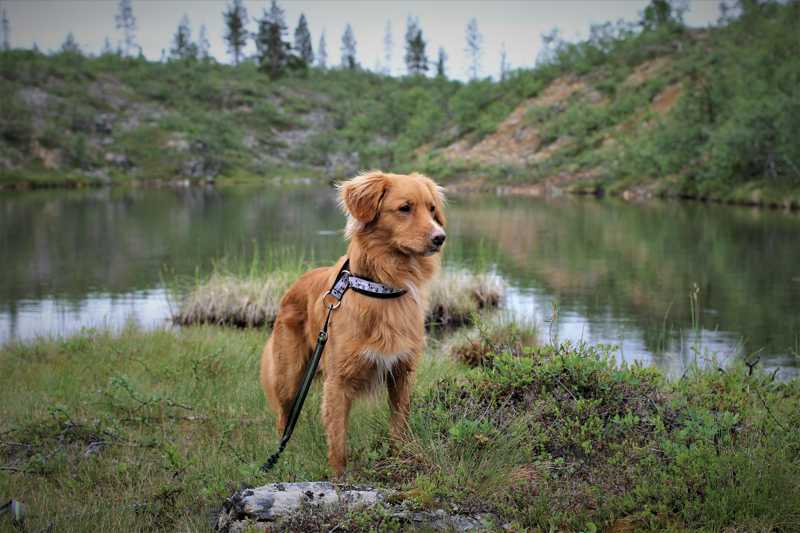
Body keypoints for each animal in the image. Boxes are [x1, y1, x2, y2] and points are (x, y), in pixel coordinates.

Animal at [262, 170, 450, 474]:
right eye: (405, 208)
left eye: (432, 209)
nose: (440, 238)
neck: (383, 286)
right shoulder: (338, 381)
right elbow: (338, 442)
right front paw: (338, 480)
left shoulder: (402, 373)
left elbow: (399, 426)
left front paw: (400, 460)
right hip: (289, 375)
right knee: (284, 417)